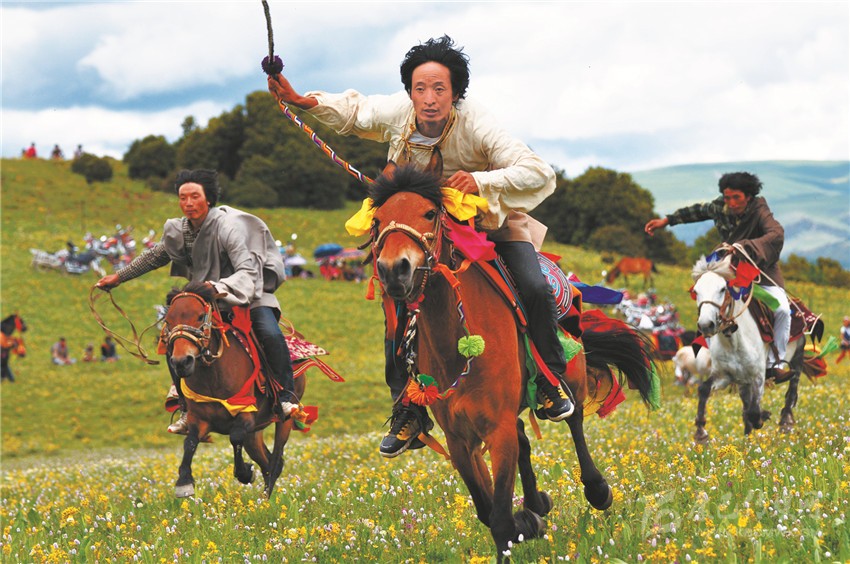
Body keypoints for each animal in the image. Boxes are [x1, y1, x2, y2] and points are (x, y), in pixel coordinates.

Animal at [161, 282, 305, 498]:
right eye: (168, 321)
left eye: (200, 316)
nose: (181, 362)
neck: (213, 375)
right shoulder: (199, 419)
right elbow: (190, 442)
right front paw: (184, 482)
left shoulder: (245, 414)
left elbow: (235, 436)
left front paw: (245, 473)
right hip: (255, 432)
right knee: (266, 461)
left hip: (284, 419)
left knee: (276, 460)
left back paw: (265, 498)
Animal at [368, 163, 656, 560]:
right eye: (378, 220)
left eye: (429, 213)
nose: (393, 270)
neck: (456, 345)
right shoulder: (460, 438)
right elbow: (486, 507)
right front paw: (529, 521)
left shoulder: (497, 429)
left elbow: (501, 520)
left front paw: (522, 524)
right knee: (525, 438)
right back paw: (537, 504)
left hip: (573, 377)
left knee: (575, 420)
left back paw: (596, 489)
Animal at [690, 254, 805, 442]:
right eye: (696, 291)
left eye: (722, 289)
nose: (706, 325)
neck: (733, 341)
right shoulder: (724, 376)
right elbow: (704, 389)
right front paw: (701, 432)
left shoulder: (758, 376)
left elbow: (753, 411)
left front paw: (762, 417)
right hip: (743, 382)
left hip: (797, 356)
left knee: (792, 386)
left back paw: (785, 422)